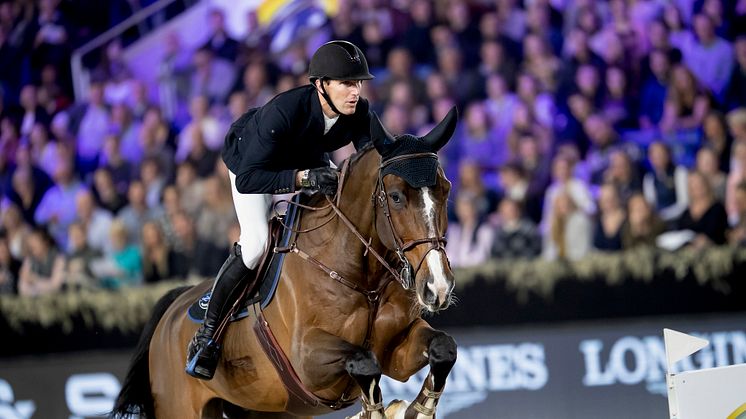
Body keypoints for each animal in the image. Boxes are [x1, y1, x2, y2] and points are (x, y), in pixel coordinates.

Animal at [110, 109, 460, 419]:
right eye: (397, 196)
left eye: (445, 190)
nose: (438, 287)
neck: (363, 278)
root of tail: (170, 310)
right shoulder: (308, 361)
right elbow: (364, 361)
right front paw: (378, 412)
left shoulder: (396, 351)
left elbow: (444, 347)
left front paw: (418, 410)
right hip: (181, 408)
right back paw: (202, 350)